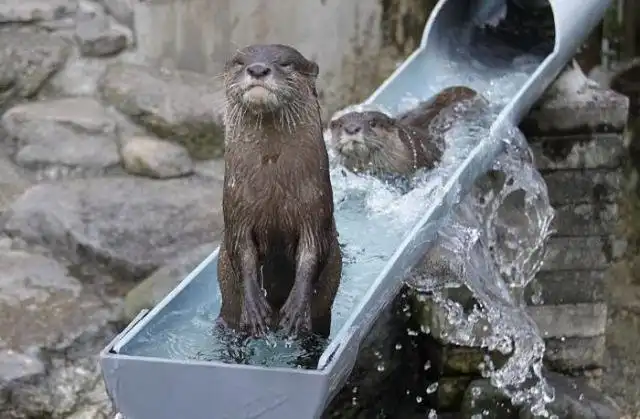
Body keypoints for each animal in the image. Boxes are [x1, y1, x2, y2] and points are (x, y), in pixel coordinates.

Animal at [217, 44, 342, 340]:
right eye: (240, 62)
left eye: (285, 63)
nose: (258, 69)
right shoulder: (236, 211)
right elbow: (241, 251)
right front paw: (254, 308)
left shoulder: (317, 209)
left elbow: (313, 253)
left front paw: (296, 309)